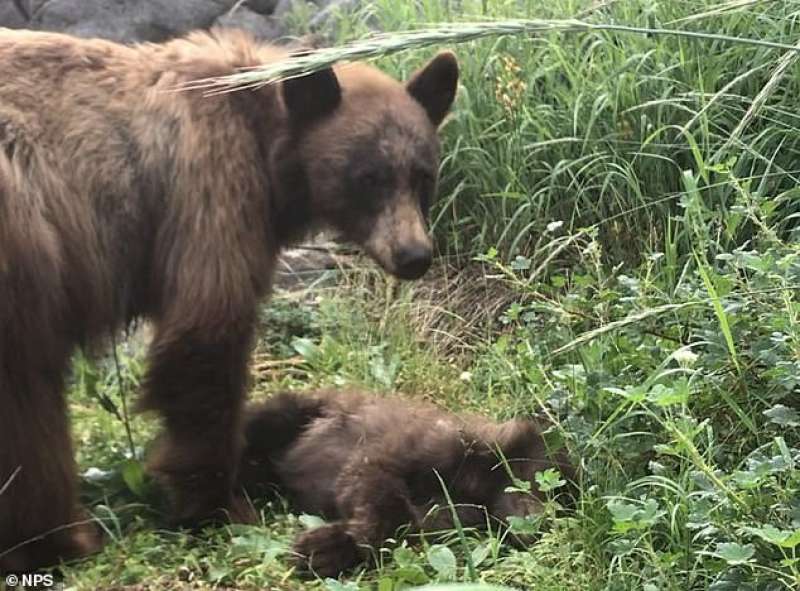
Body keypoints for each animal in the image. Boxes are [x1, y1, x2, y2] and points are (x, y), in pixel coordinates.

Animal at [0, 27, 460, 572]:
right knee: (28, 397)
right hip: (25, 241)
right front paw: (218, 504)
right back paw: (60, 539)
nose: (414, 255)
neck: (267, 136)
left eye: (423, 175)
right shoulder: (211, 186)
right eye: (368, 177)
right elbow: (206, 335)